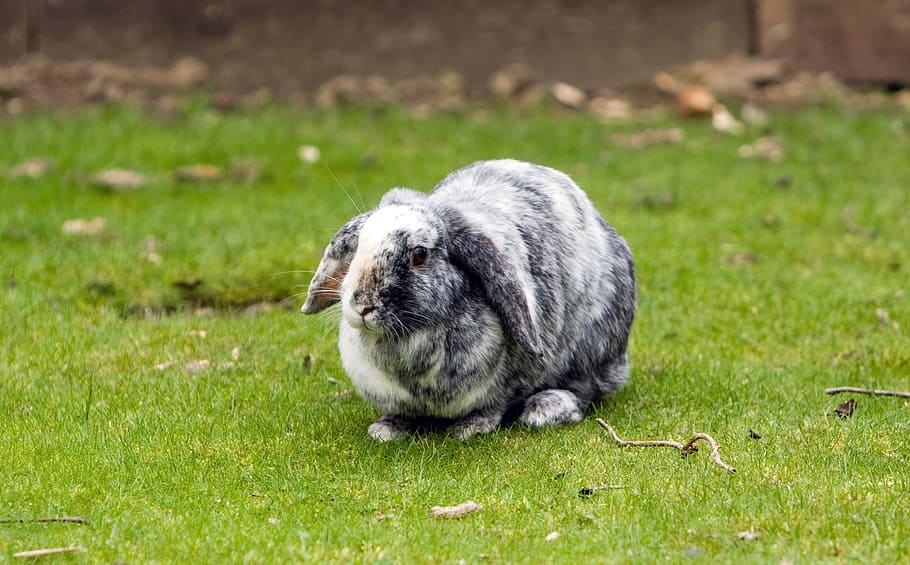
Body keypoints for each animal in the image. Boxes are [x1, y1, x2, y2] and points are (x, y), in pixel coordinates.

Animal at [302, 159, 635, 441]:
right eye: (357, 247)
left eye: (419, 254)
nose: (361, 305)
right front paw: (387, 429)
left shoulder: (511, 379)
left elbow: (494, 405)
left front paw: (470, 428)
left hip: (592, 347)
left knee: (584, 388)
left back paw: (546, 408)